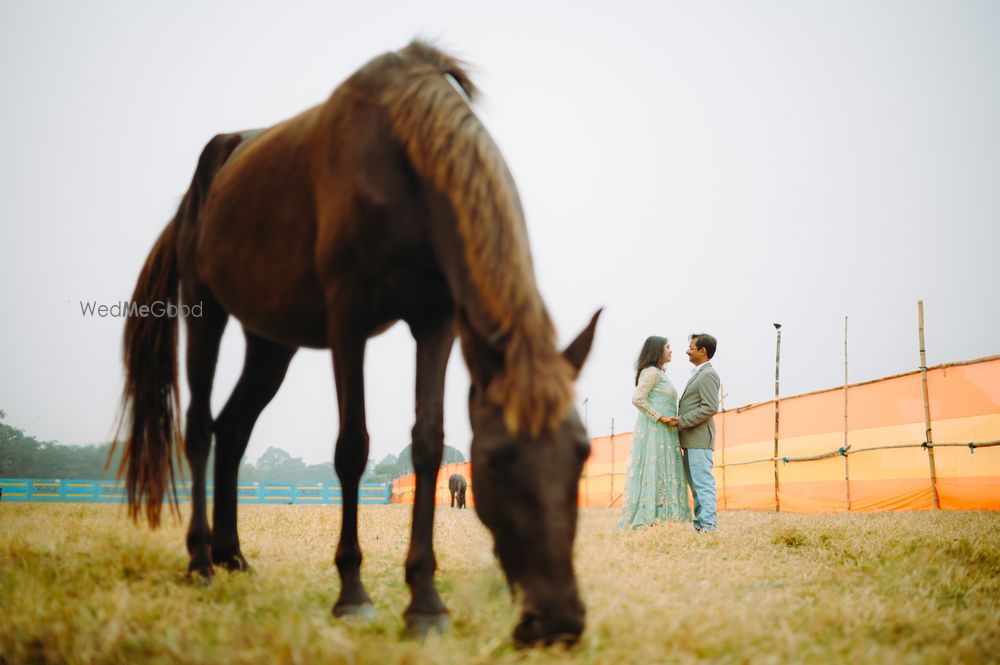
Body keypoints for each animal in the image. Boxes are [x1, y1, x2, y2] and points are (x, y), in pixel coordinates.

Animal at [117, 40, 600, 644]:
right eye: (497, 461)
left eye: (582, 454)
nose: (559, 621)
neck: (404, 163)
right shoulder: (347, 317)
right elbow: (353, 447)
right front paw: (352, 593)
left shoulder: (436, 321)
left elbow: (428, 444)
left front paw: (425, 602)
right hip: (206, 312)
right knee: (201, 428)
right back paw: (201, 562)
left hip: (270, 342)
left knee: (232, 429)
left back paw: (234, 557)